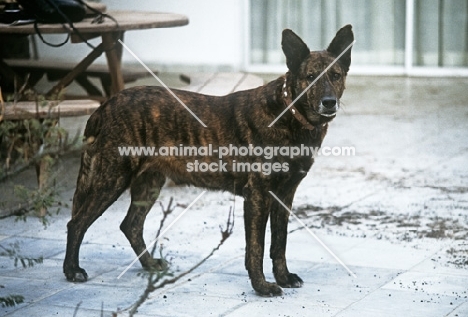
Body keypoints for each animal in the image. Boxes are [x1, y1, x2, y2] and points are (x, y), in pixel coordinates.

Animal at [64, 25, 352, 296]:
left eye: (336, 76)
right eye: (310, 77)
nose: (329, 102)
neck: (288, 113)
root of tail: (106, 106)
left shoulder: (285, 195)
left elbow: (279, 243)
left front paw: (283, 277)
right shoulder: (258, 195)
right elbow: (256, 248)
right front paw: (261, 287)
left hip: (149, 182)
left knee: (131, 225)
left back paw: (149, 264)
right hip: (112, 178)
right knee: (77, 222)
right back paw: (72, 270)